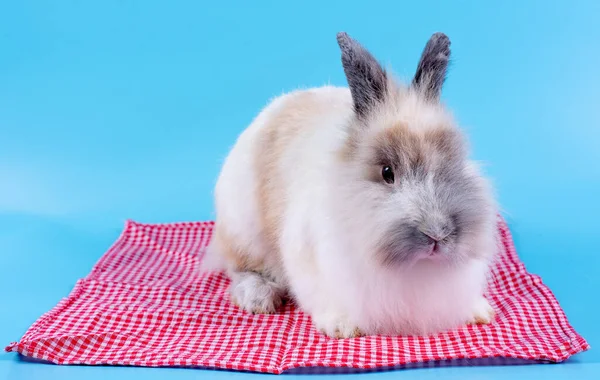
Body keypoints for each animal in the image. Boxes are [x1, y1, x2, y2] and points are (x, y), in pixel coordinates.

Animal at [204, 31, 500, 336]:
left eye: (454, 162)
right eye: (387, 172)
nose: (437, 234)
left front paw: (480, 311)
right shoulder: (311, 257)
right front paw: (342, 326)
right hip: (244, 232)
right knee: (239, 267)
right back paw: (259, 297)